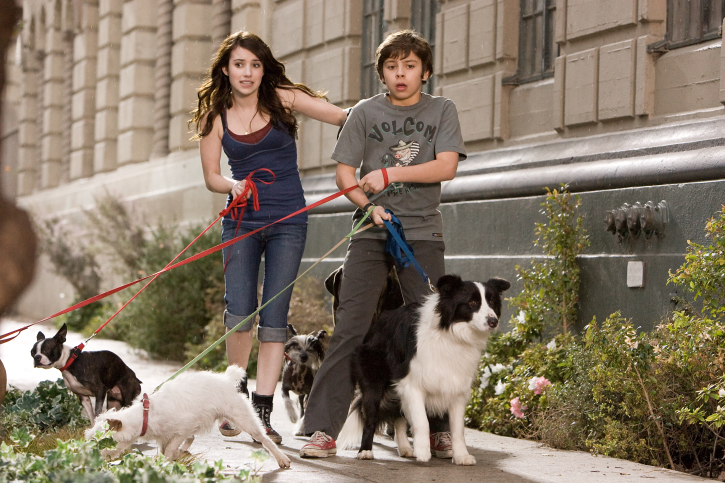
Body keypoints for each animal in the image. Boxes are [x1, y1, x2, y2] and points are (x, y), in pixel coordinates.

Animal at [85, 366, 288, 468]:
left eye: (99, 442)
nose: (86, 457)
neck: (146, 414)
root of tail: (225, 379)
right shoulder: (168, 435)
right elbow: (170, 448)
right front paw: (173, 457)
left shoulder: (185, 426)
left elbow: (170, 449)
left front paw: (166, 462)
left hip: (243, 417)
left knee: (264, 438)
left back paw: (282, 459)